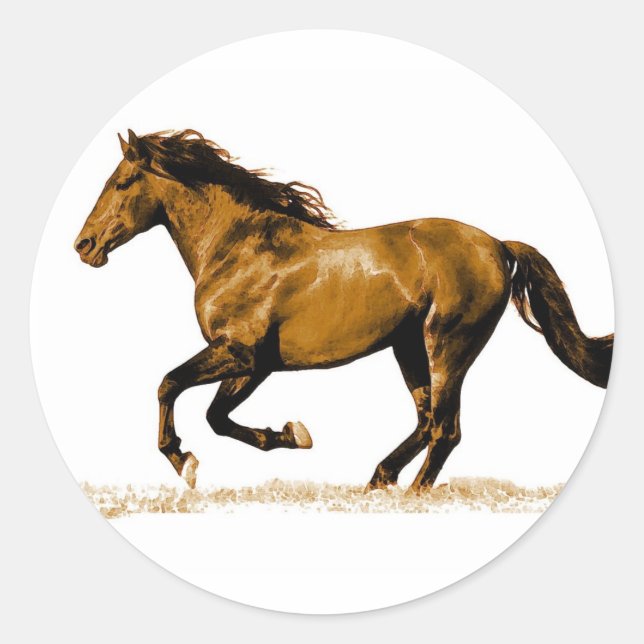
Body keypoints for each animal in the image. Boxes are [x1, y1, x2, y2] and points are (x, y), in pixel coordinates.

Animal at [74, 129, 613, 492]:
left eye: (122, 182)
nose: (84, 245)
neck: (239, 247)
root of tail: (498, 245)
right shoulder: (257, 365)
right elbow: (217, 416)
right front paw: (291, 435)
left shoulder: (240, 353)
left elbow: (170, 385)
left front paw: (184, 462)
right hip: (408, 347)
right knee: (426, 422)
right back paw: (377, 480)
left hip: (448, 345)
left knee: (446, 429)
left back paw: (410, 496)